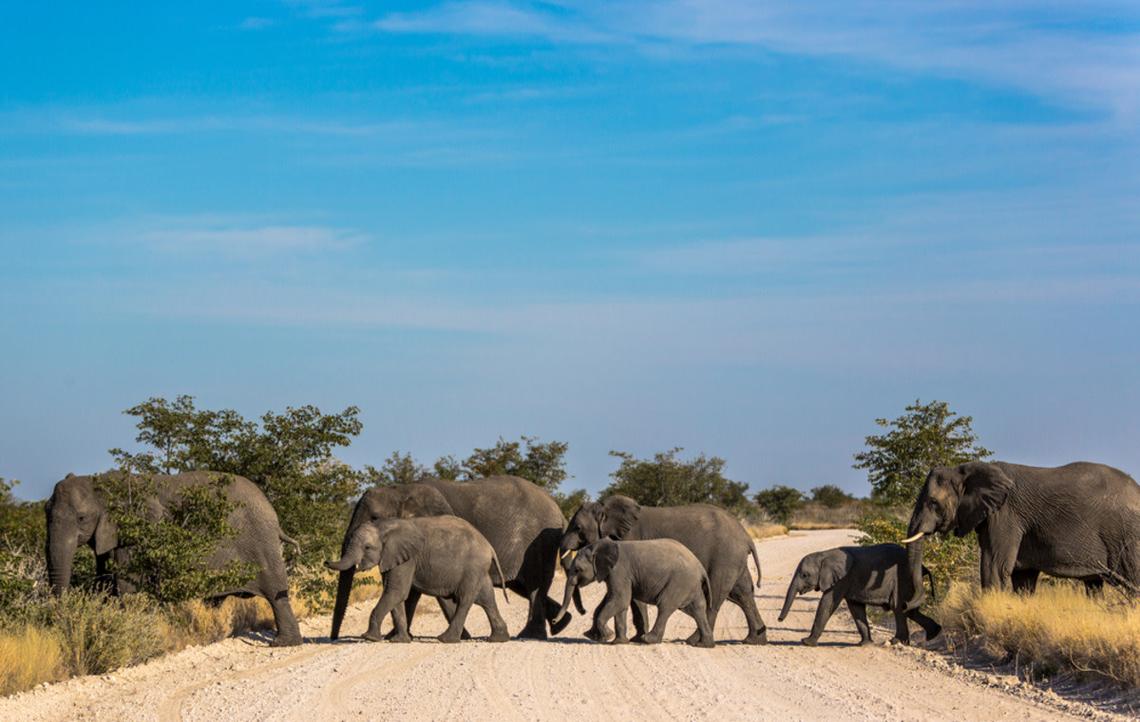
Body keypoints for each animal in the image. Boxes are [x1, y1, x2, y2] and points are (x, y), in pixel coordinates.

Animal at [45, 471, 302, 646]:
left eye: (81, 518)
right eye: (45, 512)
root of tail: (272, 512)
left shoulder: (140, 531)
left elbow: (128, 585)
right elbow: (104, 580)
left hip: (261, 541)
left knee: (275, 592)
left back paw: (283, 644)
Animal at [326, 515, 511, 643]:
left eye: (367, 548)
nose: (325, 561)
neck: (384, 526)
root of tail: (489, 547)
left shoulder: (407, 558)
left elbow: (396, 592)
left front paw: (369, 638)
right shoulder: (392, 558)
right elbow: (395, 595)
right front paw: (399, 641)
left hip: (473, 568)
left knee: (465, 599)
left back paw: (445, 639)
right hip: (479, 570)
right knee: (487, 599)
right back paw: (498, 639)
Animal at [555, 539, 714, 647]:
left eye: (578, 570)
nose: (554, 621)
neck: (598, 546)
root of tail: (700, 567)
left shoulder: (619, 570)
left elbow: (620, 600)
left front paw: (607, 636)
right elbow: (616, 603)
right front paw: (616, 642)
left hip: (679, 582)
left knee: (665, 606)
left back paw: (647, 640)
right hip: (690, 585)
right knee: (697, 610)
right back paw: (703, 644)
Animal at [778, 544, 941, 647]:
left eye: (805, 575)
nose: (779, 620)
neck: (824, 554)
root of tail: (923, 567)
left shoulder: (842, 579)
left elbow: (827, 603)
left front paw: (806, 642)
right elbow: (856, 608)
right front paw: (865, 644)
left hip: (902, 579)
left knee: (898, 607)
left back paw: (897, 642)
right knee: (909, 610)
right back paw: (934, 634)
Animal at [902, 461, 1140, 604]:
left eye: (933, 503)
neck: (965, 471)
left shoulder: (1005, 515)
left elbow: (994, 566)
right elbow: (1023, 576)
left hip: (1128, 537)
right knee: (1094, 585)